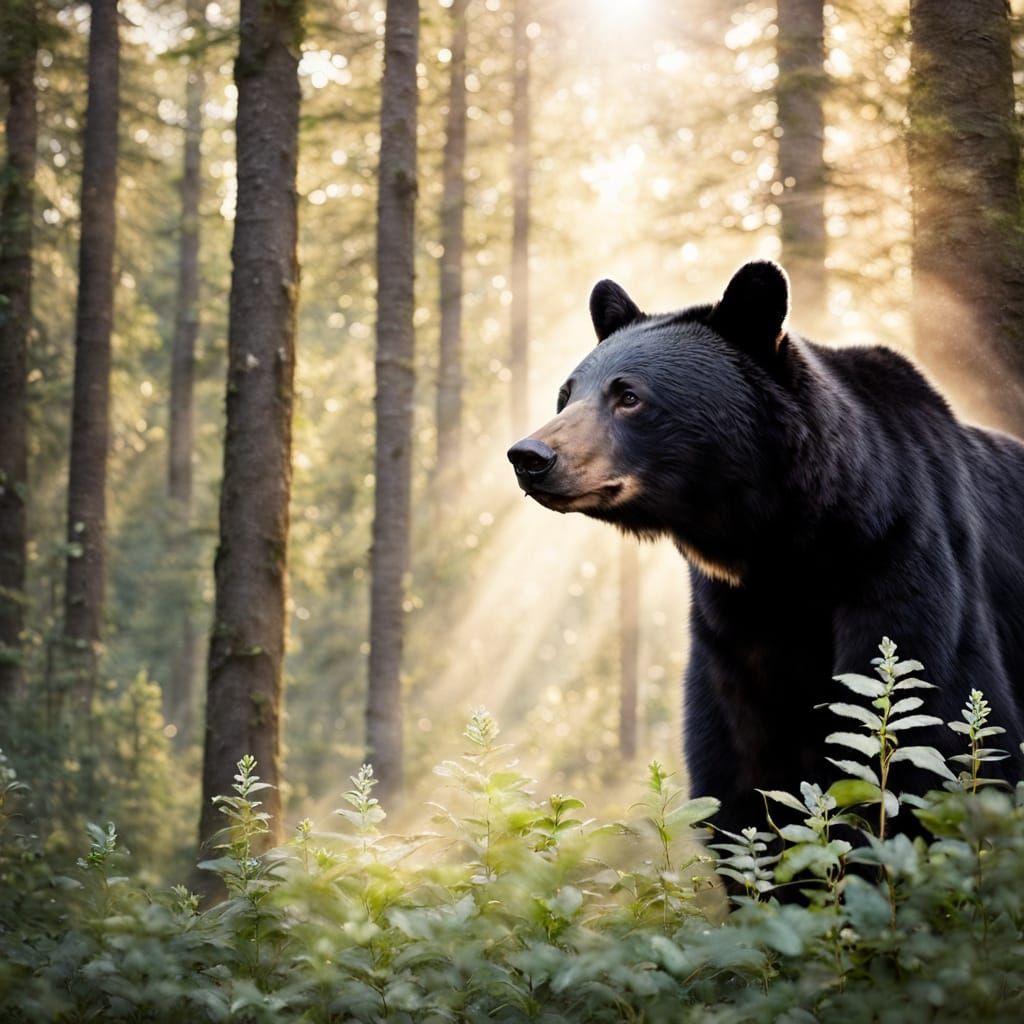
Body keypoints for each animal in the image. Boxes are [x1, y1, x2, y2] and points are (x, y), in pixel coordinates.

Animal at [507, 260, 1024, 841]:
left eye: (629, 396)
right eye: (566, 393)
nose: (530, 456)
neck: (785, 547)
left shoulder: (903, 561)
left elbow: (929, 731)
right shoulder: (732, 629)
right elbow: (738, 775)